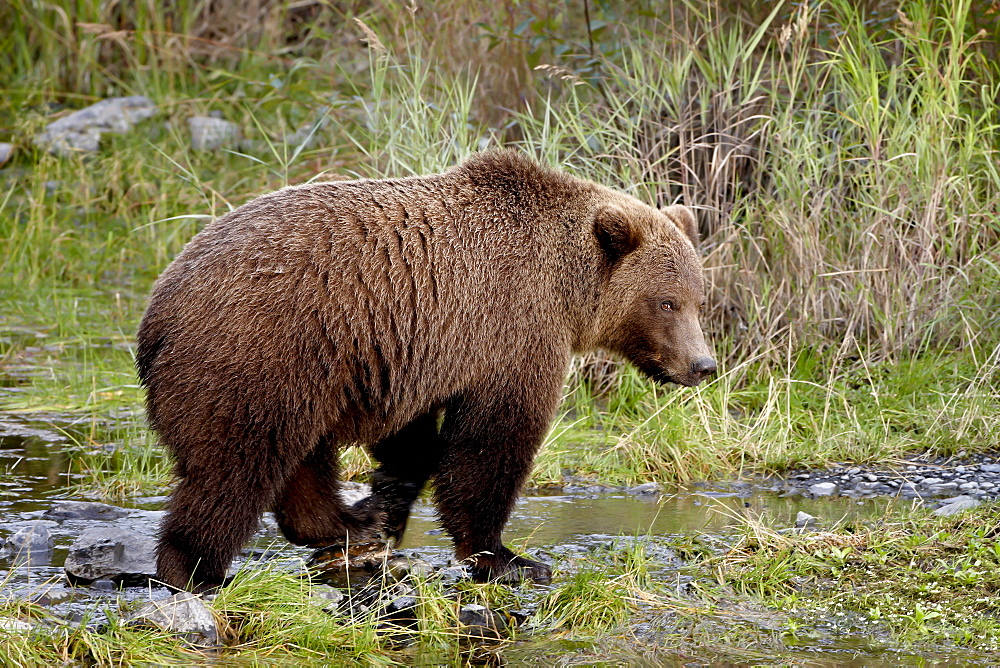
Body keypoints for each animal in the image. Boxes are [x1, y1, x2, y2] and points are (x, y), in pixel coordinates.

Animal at [137, 150, 716, 588]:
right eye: (665, 302)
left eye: (698, 299)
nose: (702, 365)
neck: (568, 289)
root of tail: (159, 308)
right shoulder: (511, 330)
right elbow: (491, 444)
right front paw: (508, 558)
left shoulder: (405, 351)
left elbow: (412, 439)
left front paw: (387, 504)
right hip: (259, 353)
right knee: (233, 466)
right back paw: (194, 570)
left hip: (308, 372)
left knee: (300, 457)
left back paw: (349, 523)